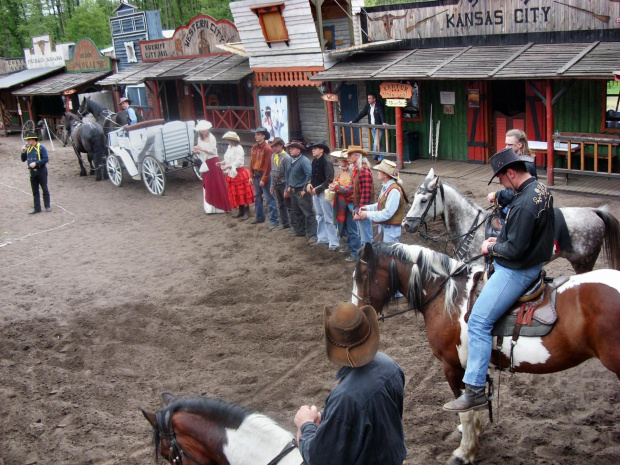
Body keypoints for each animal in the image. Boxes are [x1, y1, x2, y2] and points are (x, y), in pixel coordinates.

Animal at [354, 239, 620, 464]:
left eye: (363, 275)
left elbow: (465, 409)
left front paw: (464, 452)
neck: (448, 297)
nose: (358, 314)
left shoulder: (453, 366)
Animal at [402, 169, 620, 274]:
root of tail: (594, 211)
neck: (470, 228)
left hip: (583, 263)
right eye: (414, 197)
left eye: (423, 200)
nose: (405, 224)